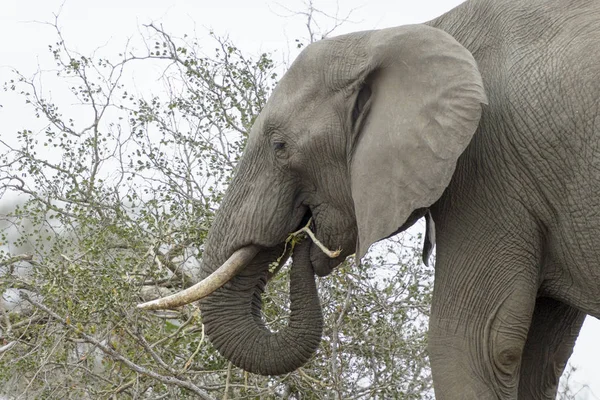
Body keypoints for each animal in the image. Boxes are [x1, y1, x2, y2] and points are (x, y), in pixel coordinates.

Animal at [137, 0, 600, 398]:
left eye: (280, 147)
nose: (304, 237)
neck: (415, 33)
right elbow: (539, 359)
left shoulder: (487, 169)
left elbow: (474, 343)